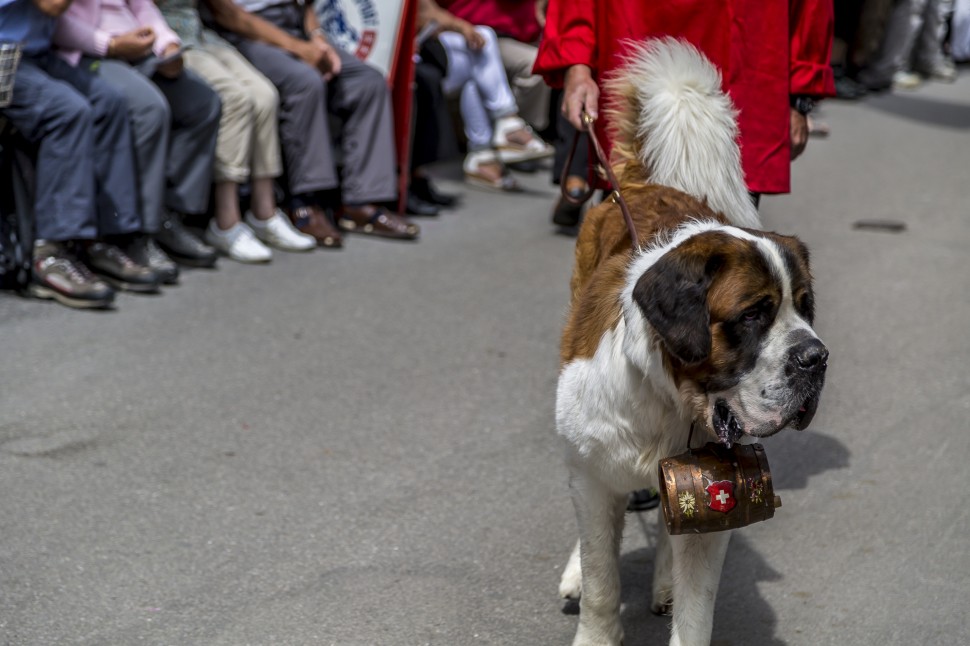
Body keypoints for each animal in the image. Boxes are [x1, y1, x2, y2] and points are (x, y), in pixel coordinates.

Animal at [552, 39, 824, 646]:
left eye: (805, 307)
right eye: (754, 314)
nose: (816, 358)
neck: (668, 397)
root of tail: (634, 183)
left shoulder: (717, 496)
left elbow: (697, 603)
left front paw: (679, 595)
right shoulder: (592, 470)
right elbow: (601, 571)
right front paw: (594, 615)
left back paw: (664, 583)